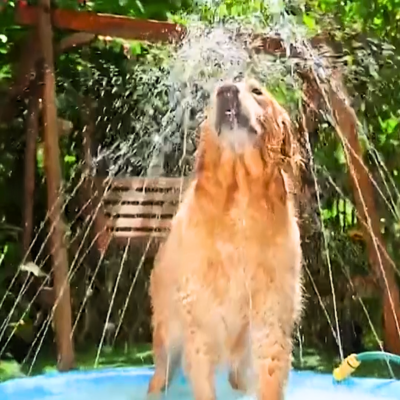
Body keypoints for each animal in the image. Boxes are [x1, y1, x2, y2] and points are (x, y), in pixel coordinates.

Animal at [148, 78, 302, 400]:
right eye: (215, 91)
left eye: (257, 91)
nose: (227, 90)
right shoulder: (200, 325)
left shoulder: (271, 321)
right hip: (168, 336)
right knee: (160, 375)